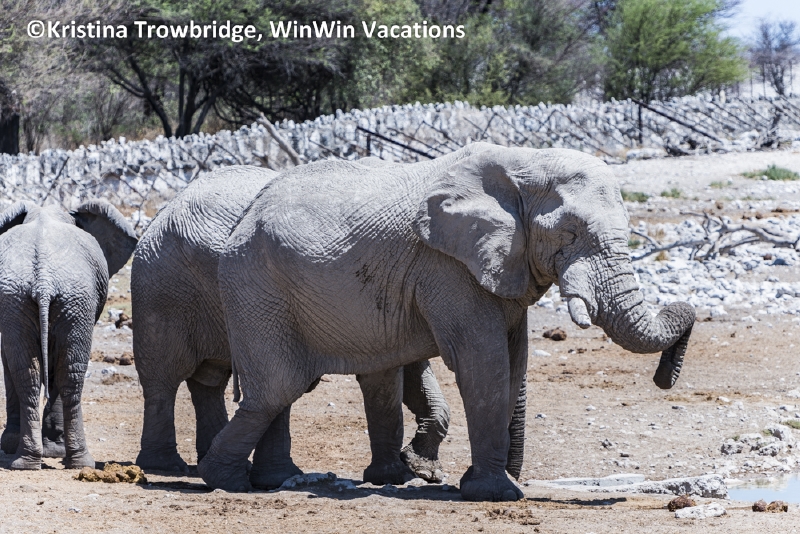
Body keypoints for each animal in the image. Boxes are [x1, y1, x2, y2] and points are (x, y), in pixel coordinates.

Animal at [0, 200, 138, 469]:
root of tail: (43, 280)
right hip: (60, 299)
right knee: (64, 374)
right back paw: (70, 461)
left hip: (45, 299)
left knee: (36, 373)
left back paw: (36, 461)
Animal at [131, 165, 453, 487]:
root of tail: (166, 208)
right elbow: (385, 375)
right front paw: (395, 475)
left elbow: (415, 372)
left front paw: (421, 468)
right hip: (164, 287)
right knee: (164, 376)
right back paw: (168, 465)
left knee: (215, 379)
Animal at [199, 142, 695, 501]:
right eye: (570, 233)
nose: (664, 375)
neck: (525, 163)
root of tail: (245, 216)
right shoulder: (447, 267)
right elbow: (483, 361)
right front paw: (496, 494)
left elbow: (513, 360)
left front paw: (454, 476)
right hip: (254, 285)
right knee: (277, 387)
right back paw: (224, 481)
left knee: (284, 389)